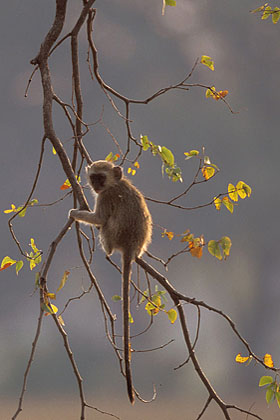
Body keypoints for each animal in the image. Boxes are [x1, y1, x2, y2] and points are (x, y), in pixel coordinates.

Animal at [69, 159, 153, 402]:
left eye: (101, 178)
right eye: (93, 177)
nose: (96, 186)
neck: (115, 183)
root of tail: (130, 246)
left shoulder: (106, 198)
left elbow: (99, 218)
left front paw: (74, 212)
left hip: (111, 234)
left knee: (104, 225)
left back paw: (106, 249)